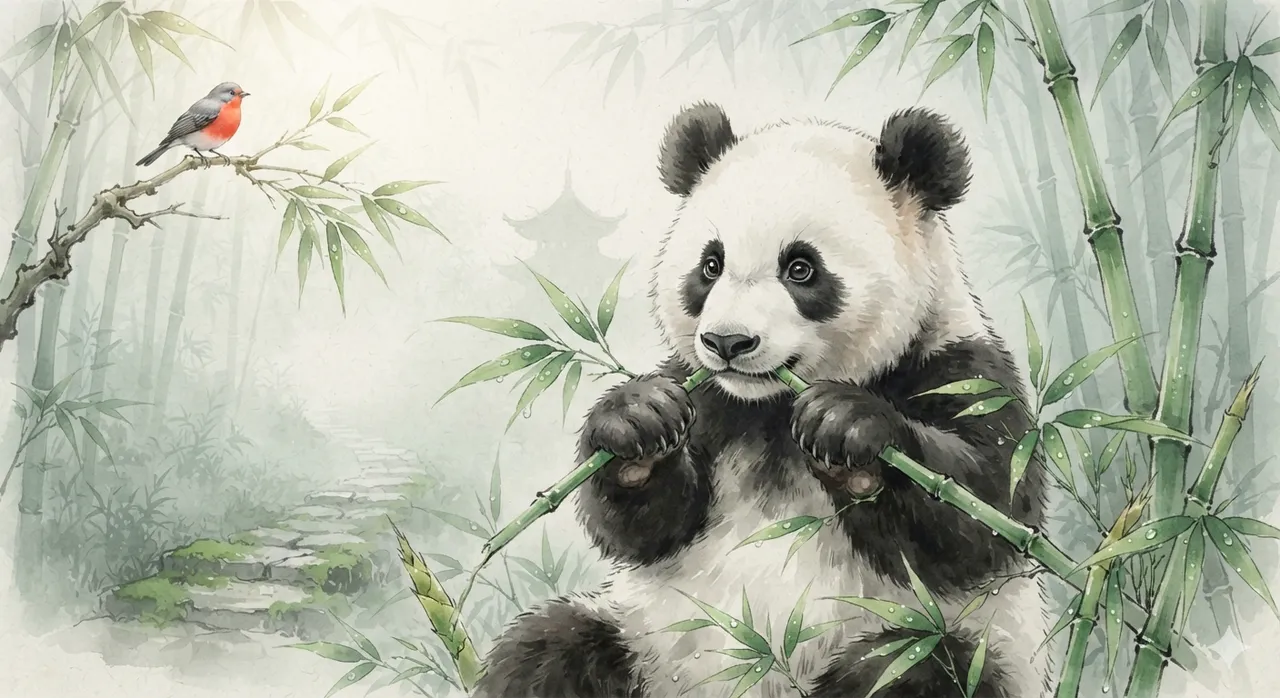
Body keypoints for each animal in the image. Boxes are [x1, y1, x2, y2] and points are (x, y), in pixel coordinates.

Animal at [473, 103, 1051, 698]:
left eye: (801, 268)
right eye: (711, 265)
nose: (728, 342)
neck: (769, 407)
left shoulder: (962, 370)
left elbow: (984, 513)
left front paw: (847, 428)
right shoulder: (708, 398)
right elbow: (647, 529)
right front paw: (636, 422)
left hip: (956, 644)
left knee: (916, 669)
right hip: (644, 647)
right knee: (550, 649)